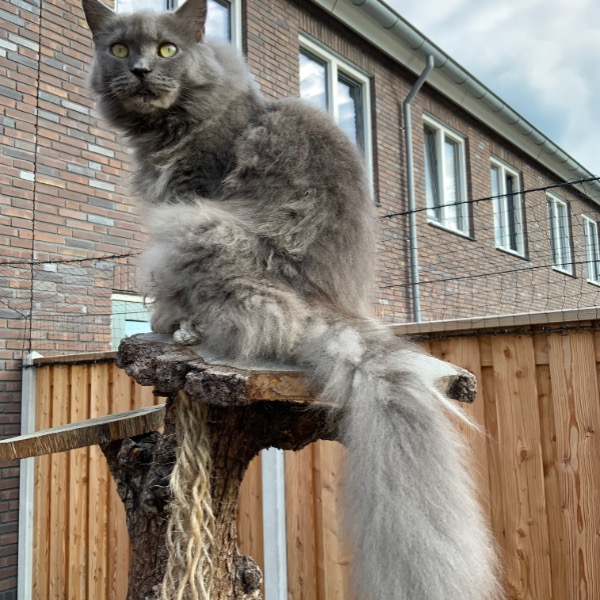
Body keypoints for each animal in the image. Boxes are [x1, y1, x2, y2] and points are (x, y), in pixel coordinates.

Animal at [81, 0, 502, 596]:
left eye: (166, 49)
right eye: (118, 49)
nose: (140, 71)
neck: (174, 125)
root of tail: (333, 305)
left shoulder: (191, 191)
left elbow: (175, 296)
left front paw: (168, 321)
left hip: (193, 230)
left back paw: (187, 331)